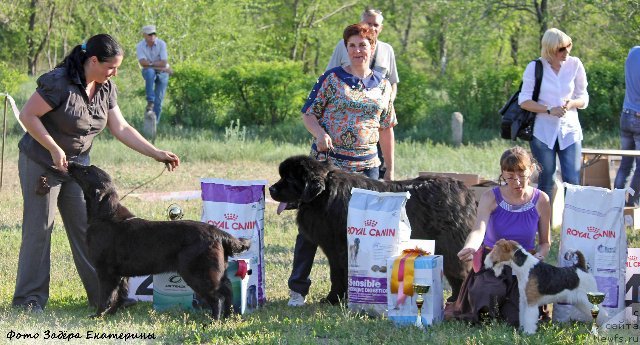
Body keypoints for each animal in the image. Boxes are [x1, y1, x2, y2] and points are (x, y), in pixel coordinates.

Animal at [67, 163, 250, 318]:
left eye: (86, 171)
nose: (70, 163)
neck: (105, 216)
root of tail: (217, 232)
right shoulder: (121, 274)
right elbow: (119, 294)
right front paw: (112, 313)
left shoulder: (105, 270)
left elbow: (105, 296)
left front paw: (98, 315)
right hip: (217, 271)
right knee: (228, 290)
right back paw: (227, 316)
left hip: (197, 272)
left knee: (217, 296)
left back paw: (214, 320)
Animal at [268, 156, 476, 304]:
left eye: (289, 178)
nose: (270, 189)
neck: (325, 196)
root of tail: (464, 189)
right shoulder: (333, 251)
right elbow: (335, 275)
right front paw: (333, 299)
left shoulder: (341, 248)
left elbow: (342, 274)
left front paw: (342, 299)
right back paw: (453, 299)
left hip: (449, 245)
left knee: (460, 271)